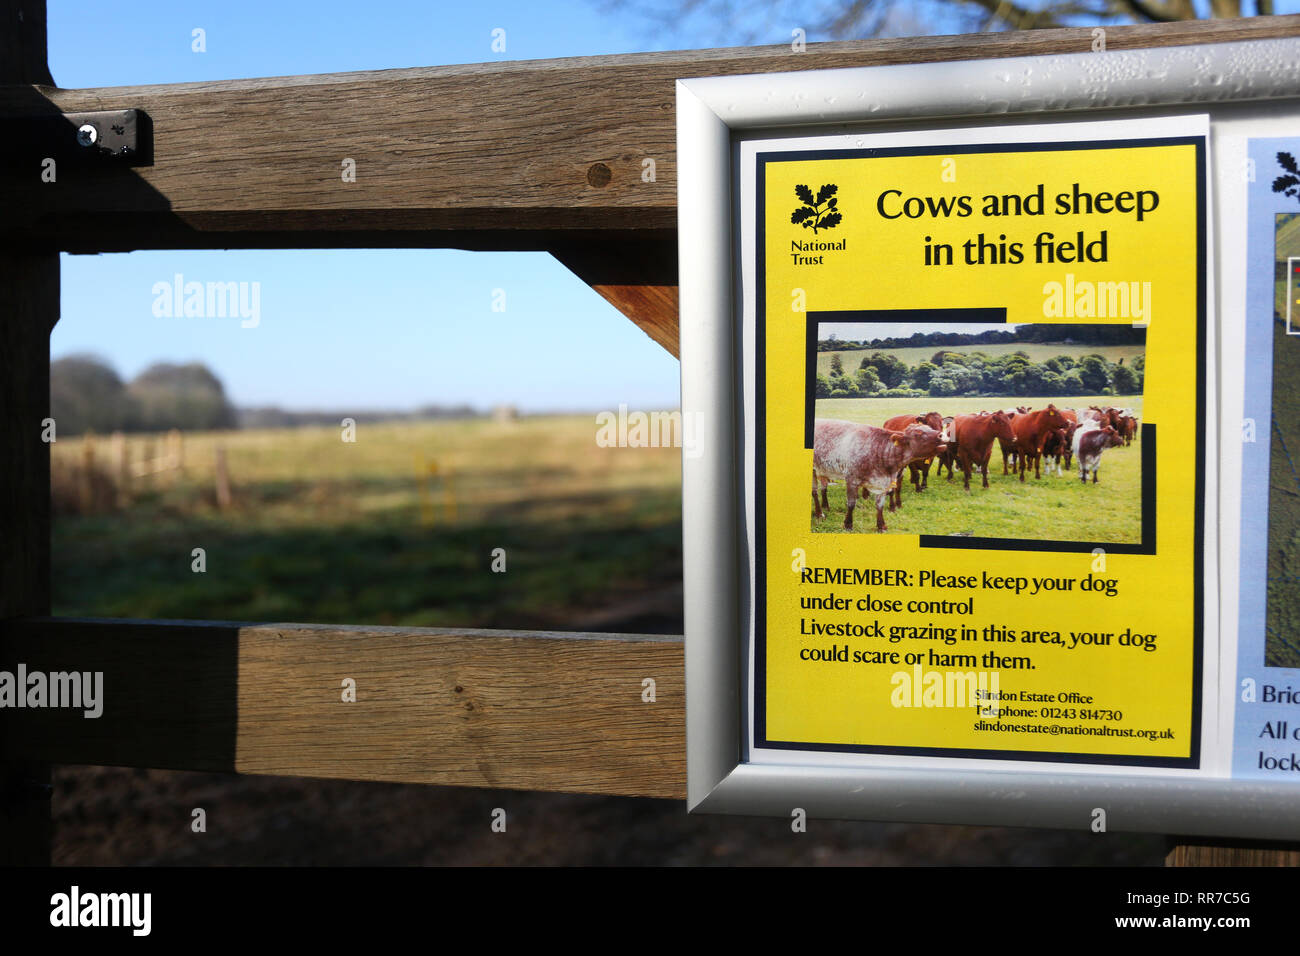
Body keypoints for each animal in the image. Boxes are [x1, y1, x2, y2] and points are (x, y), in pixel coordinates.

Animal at [811, 421, 946, 535]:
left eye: (929, 428)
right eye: (918, 433)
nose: (941, 434)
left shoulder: (884, 484)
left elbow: (880, 505)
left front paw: (881, 526)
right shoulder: (851, 479)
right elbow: (851, 504)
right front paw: (848, 525)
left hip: (822, 469)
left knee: (823, 487)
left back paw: (825, 506)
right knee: (815, 492)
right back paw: (819, 513)